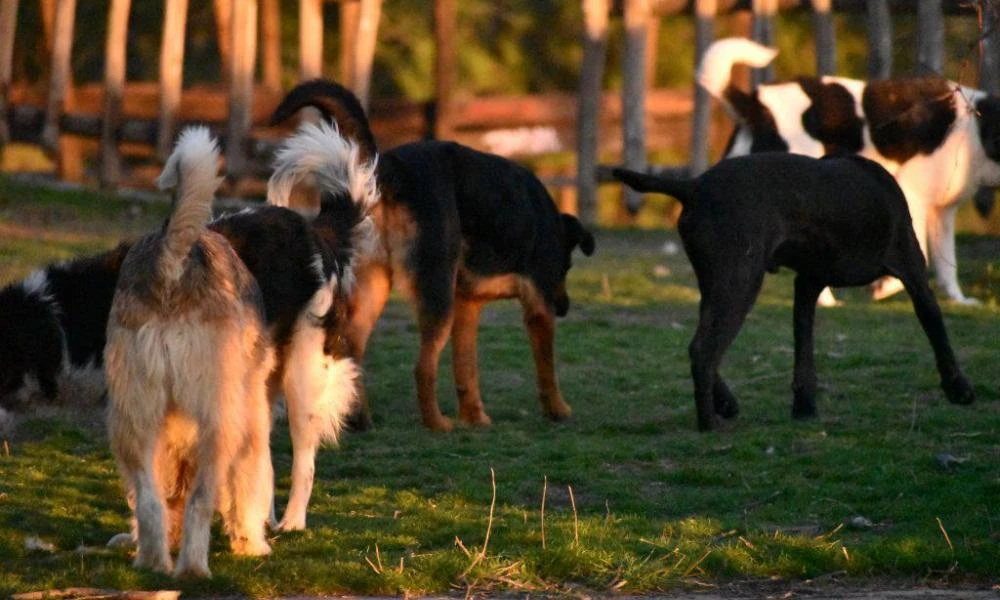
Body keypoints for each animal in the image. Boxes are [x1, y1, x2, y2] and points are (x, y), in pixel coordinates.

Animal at [106, 127, 276, 580]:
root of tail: (171, 265)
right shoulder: (252, 423)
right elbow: (249, 485)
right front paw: (251, 543)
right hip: (221, 423)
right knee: (201, 500)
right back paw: (193, 569)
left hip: (132, 418)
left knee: (150, 501)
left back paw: (152, 561)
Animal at [270, 79, 592, 432]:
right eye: (566, 266)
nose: (564, 307)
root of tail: (384, 169)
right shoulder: (538, 306)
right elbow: (547, 369)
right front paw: (558, 410)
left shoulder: (467, 306)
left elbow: (466, 370)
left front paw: (475, 418)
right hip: (436, 293)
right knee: (422, 367)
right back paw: (436, 423)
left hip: (375, 287)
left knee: (351, 349)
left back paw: (360, 420)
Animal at [612, 152, 972, 428]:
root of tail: (694, 186)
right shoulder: (914, 271)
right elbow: (938, 332)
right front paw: (959, 389)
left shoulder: (807, 285)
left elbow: (804, 352)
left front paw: (804, 406)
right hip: (741, 280)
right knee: (703, 350)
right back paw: (709, 422)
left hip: (715, 284)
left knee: (699, 347)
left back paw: (726, 404)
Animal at [696, 38, 1000, 308]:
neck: (975, 126)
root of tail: (756, 104)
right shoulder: (912, 193)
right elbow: (920, 254)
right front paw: (881, 287)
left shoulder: (942, 213)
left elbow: (948, 263)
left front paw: (959, 300)